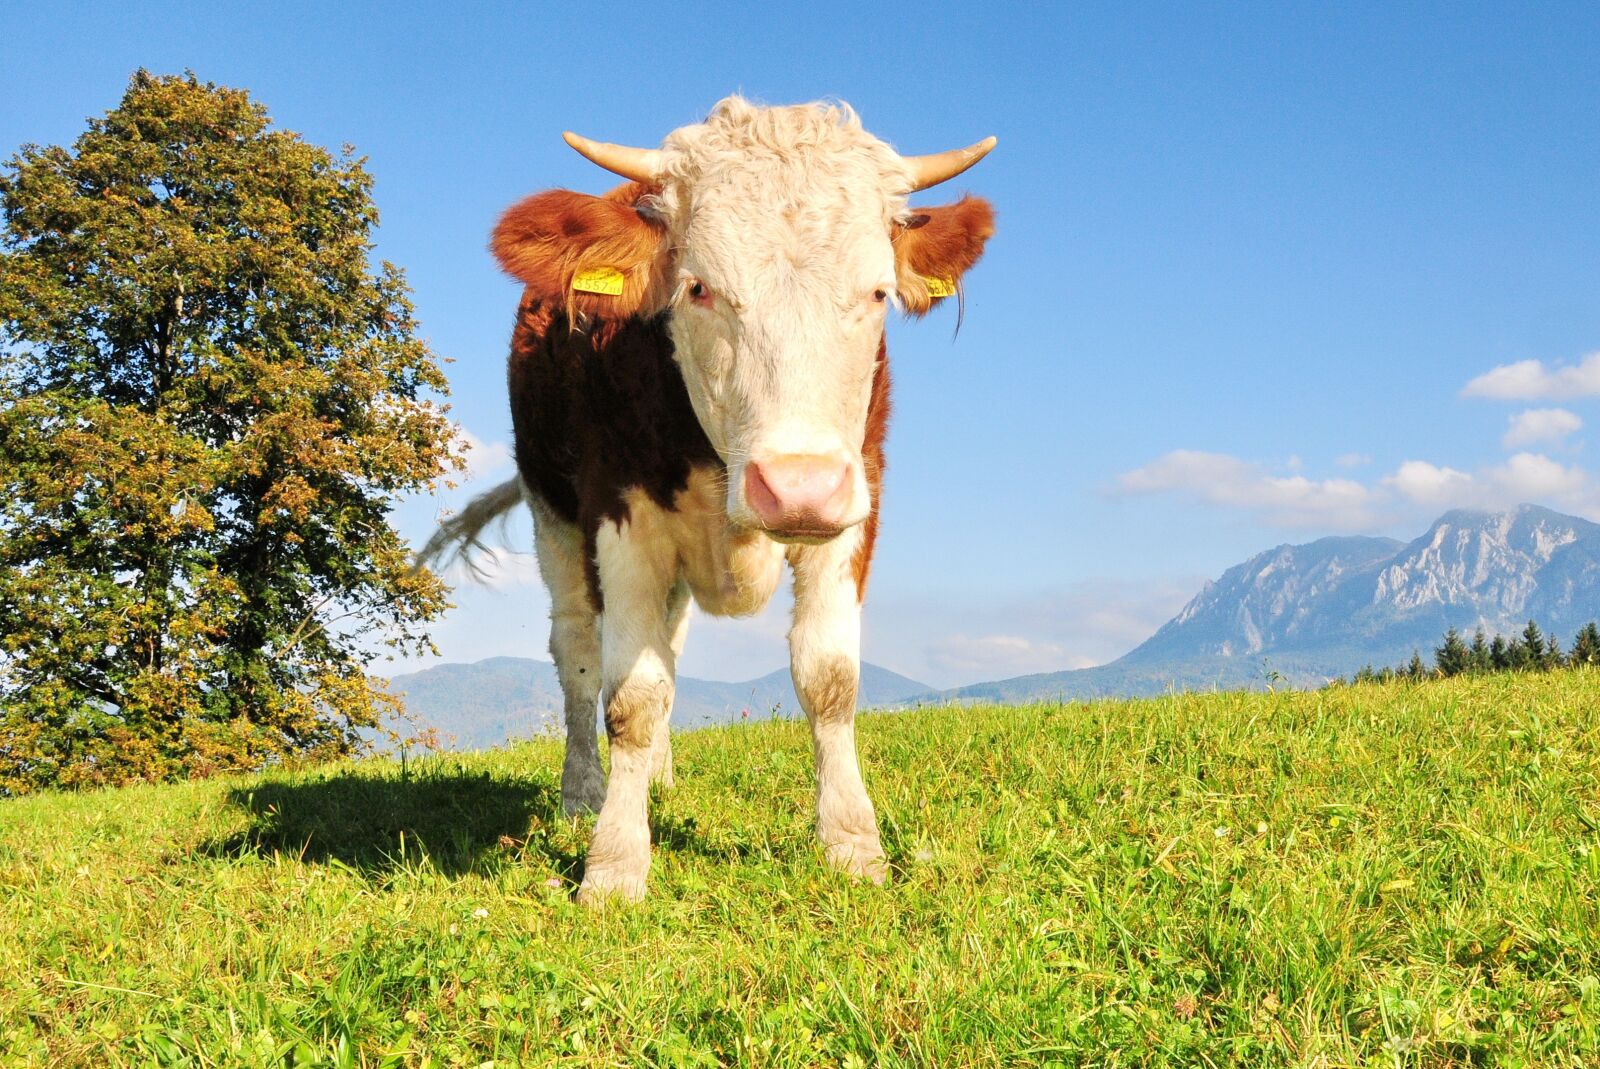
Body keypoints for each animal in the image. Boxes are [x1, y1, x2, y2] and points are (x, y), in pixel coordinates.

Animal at [423, 97, 995, 904]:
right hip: (551, 514)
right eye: (697, 287)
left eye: (879, 291)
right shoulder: (619, 519)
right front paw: (614, 864)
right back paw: (582, 796)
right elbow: (630, 698)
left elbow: (829, 679)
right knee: (577, 655)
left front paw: (853, 845)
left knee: (669, 642)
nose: (798, 487)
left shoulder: (857, 497)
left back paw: (657, 779)